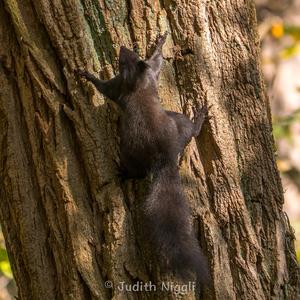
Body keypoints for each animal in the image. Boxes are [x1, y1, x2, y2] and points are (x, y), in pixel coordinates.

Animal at [79, 32, 211, 290]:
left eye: (124, 58)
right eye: (129, 53)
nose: (121, 47)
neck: (137, 80)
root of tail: (166, 157)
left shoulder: (117, 87)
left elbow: (103, 88)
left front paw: (86, 75)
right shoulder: (151, 72)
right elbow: (157, 61)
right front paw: (160, 42)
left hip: (132, 149)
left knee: (139, 170)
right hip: (177, 124)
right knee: (190, 132)